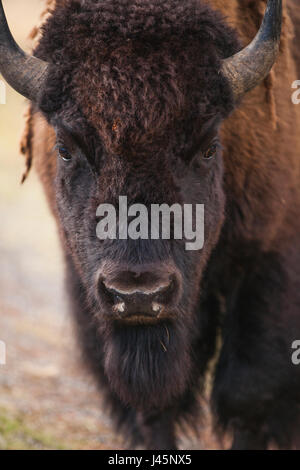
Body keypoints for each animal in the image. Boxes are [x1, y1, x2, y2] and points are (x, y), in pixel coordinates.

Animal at [0, 0, 300, 450]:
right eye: (65, 148)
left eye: (209, 147)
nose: (138, 293)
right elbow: (154, 407)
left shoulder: (269, 256)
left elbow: (249, 390)